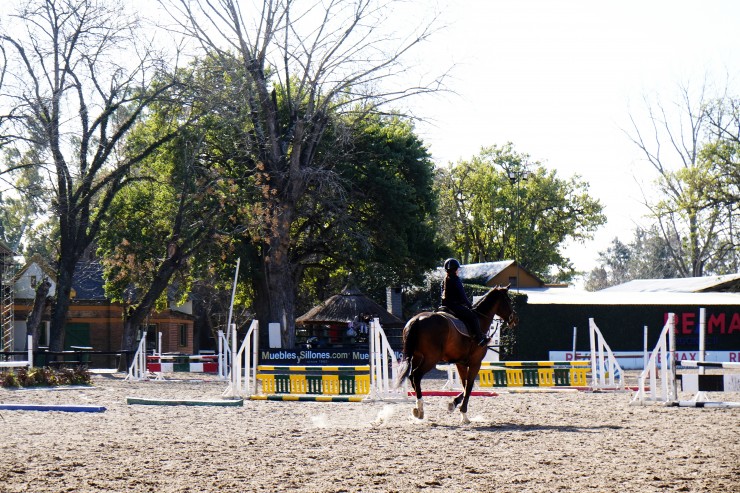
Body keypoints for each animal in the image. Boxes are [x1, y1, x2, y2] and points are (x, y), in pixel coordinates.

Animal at [396, 284, 516, 422]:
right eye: (509, 300)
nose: (515, 319)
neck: (479, 320)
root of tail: (417, 320)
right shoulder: (476, 363)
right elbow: (469, 386)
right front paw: (463, 413)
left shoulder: (461, 363)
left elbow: (465, 385)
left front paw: (453, 404)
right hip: (431, 359)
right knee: (416, 376)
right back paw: (420, 408)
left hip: (417, 357)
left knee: (411, 377)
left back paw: (417, 409)